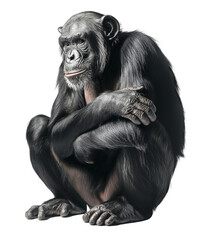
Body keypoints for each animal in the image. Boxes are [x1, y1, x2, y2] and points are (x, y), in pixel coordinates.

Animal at [25, 11, 184, 225]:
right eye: (66, 44)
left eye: (80, 41)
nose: (70, 56)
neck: (110, 59)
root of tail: (96, 201)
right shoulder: (63, 71)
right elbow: (57, 128)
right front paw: (117, 101)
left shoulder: (139, 48)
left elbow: (130, 124)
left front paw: (82, 146)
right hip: (84, 190)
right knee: (38, 126)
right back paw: (64, 202)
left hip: (125, 190)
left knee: (142, 131)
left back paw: (127, 208)